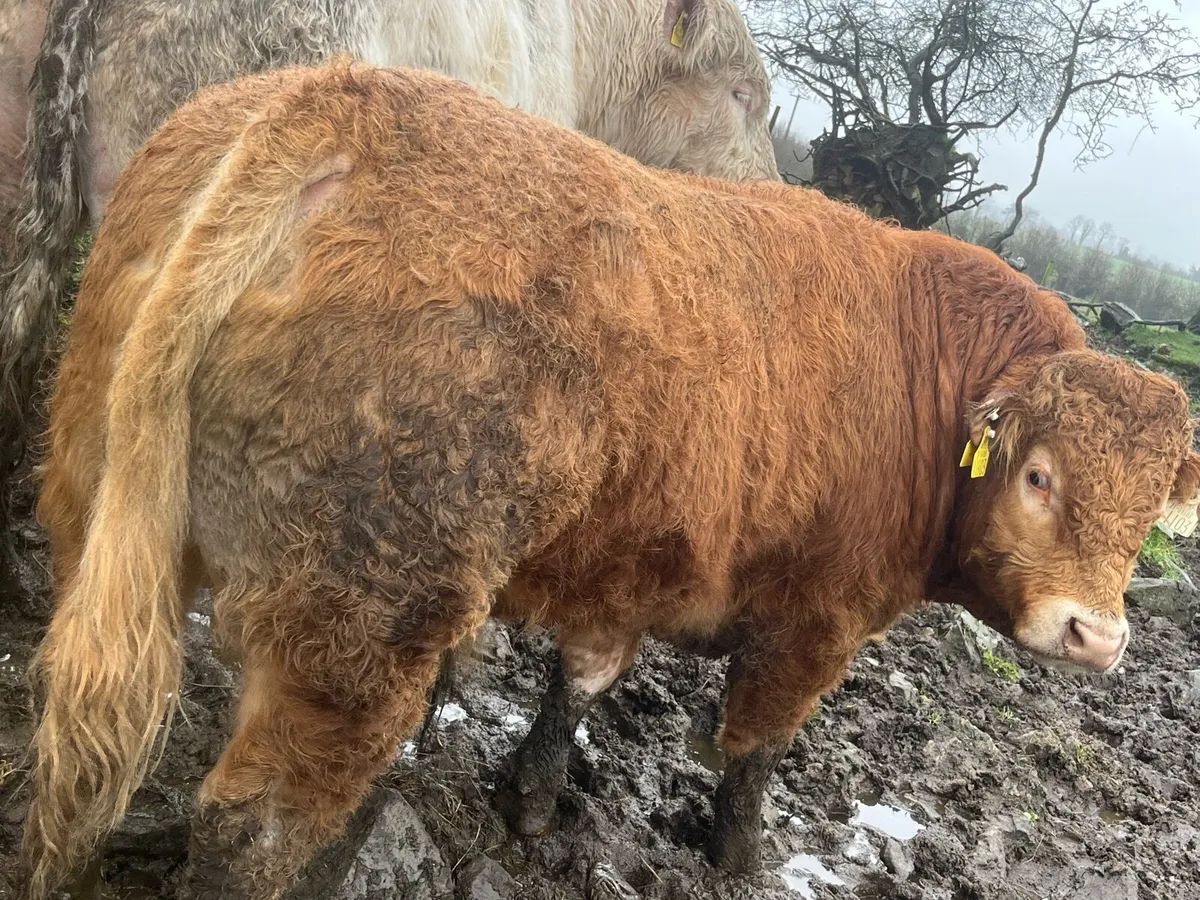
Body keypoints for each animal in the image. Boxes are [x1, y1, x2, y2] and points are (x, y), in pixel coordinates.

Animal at [19, 62, 1200, 900]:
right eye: (1039, 476)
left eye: (1151, 509)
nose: (1097, 636)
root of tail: (347, 100)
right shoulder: (818, 622)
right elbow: (755, 751)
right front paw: (738, 857)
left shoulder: (628, 566)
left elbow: (579, 684)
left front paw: (534, 802)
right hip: (360, 618)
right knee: (251, 827)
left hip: (100, 504)